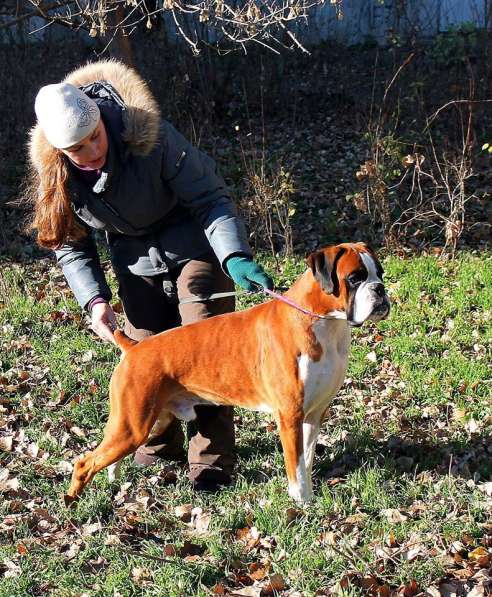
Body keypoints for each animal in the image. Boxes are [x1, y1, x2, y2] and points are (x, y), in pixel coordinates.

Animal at [66, 242, 388, 502]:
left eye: (380, 273)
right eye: (355, 277)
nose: (380, 289)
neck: (322, 323)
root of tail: (134, 347)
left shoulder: (314, 415)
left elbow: (305, 461)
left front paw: (310, 498)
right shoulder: (290, 417)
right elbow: (294, 466)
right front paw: (301, 503)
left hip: (149, 421)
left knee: (109, 457)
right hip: (133, 425)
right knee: (84, 463)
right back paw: (73, 505)